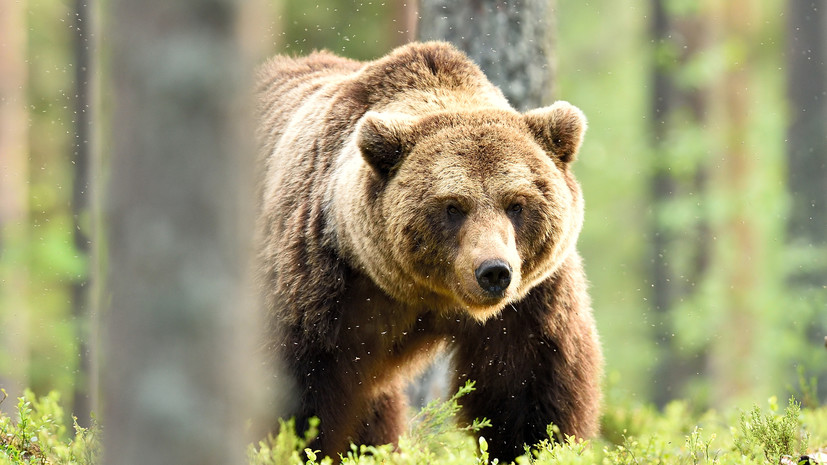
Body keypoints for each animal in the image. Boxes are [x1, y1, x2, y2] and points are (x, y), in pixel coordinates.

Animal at [258, 41, 600, 462]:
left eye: (516, 204)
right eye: (453, 206)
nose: (493, 271)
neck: (427, 295)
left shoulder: (530, 301)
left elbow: (529, 390)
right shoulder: (318, 282)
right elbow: (300, 398)